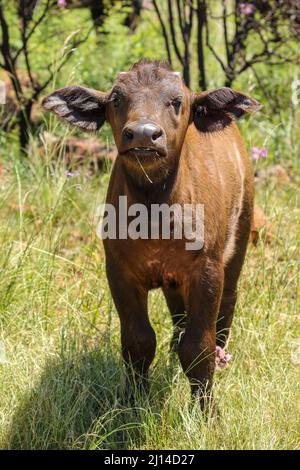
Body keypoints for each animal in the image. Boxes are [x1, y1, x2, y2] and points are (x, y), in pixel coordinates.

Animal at [43, 59, 262, 412]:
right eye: (116, 99)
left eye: (177, 101)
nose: (144, 134)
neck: (155, 211)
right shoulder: (120, 272)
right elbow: (138, 342)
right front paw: (131, 404)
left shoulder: (206, 271)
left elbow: (198, 348)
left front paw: (205, 411)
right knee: (178, 314)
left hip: (239, 238)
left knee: (228, 302)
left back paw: (222, 353)